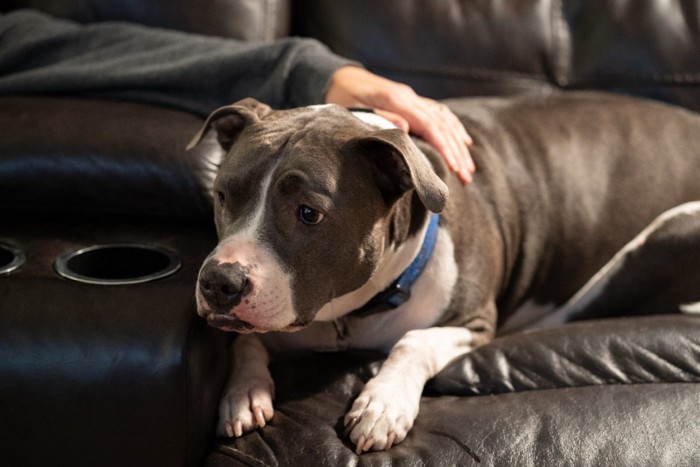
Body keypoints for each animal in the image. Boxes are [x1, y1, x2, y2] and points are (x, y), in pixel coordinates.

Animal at [186, 91, 700, 454]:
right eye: (223, 195)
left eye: (309, 213)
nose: (219, 283)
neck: (354, 314)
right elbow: (244, 340)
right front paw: (245, 393)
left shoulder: (473, 322)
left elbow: (414, 341)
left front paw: (382, 404)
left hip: (672, 229)